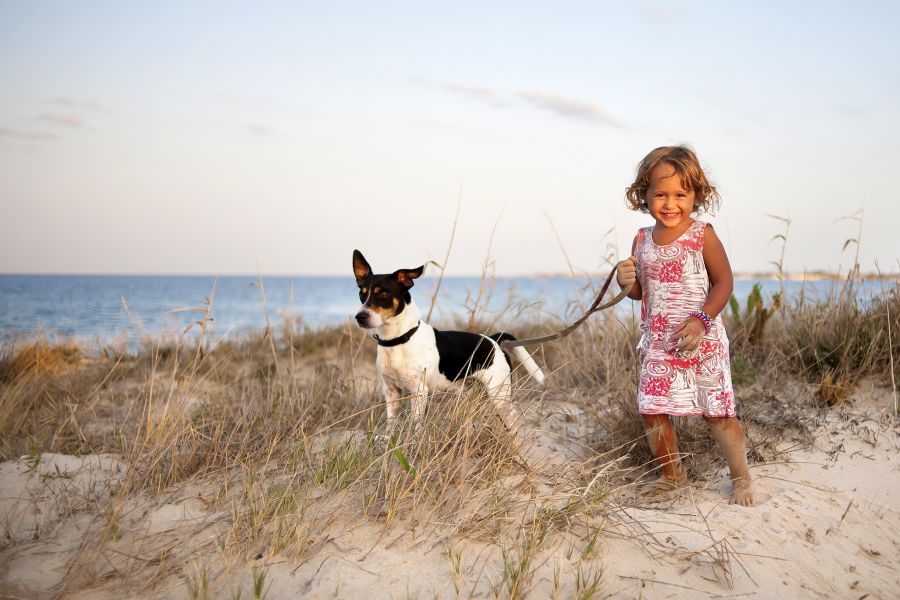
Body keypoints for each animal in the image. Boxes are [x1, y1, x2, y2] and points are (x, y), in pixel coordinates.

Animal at [354, 248, 544, 426]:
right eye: (362, 294)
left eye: (383, 293)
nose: (360, 317)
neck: (399, 340)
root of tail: (493, 340)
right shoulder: (391, 391)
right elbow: (391, 425)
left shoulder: (419, 391)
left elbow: (415, 426)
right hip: (471, 392)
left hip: (499, 394)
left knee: (514, 420)